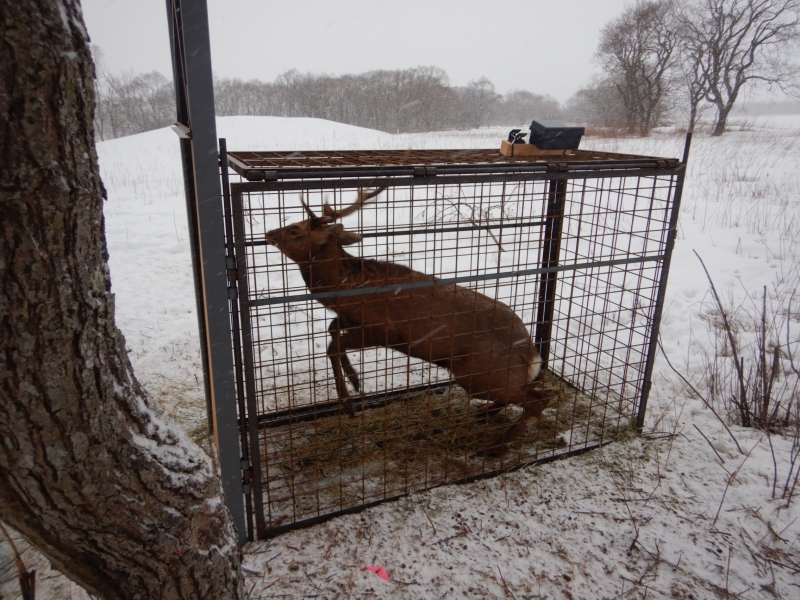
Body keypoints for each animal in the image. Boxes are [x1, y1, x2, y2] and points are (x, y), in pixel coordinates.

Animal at [266, 188, 548, 454]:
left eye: (294, 229)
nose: (269, 233)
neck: (346, 290)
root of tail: (532, 354)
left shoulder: (382, 330)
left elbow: (333, 346)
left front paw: (350, 396)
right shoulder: (349, 319)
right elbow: (331, 331)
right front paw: (352, 387)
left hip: (480, 372)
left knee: (538, 400)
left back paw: (493, 448)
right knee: (530, 393)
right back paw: (485, 414)